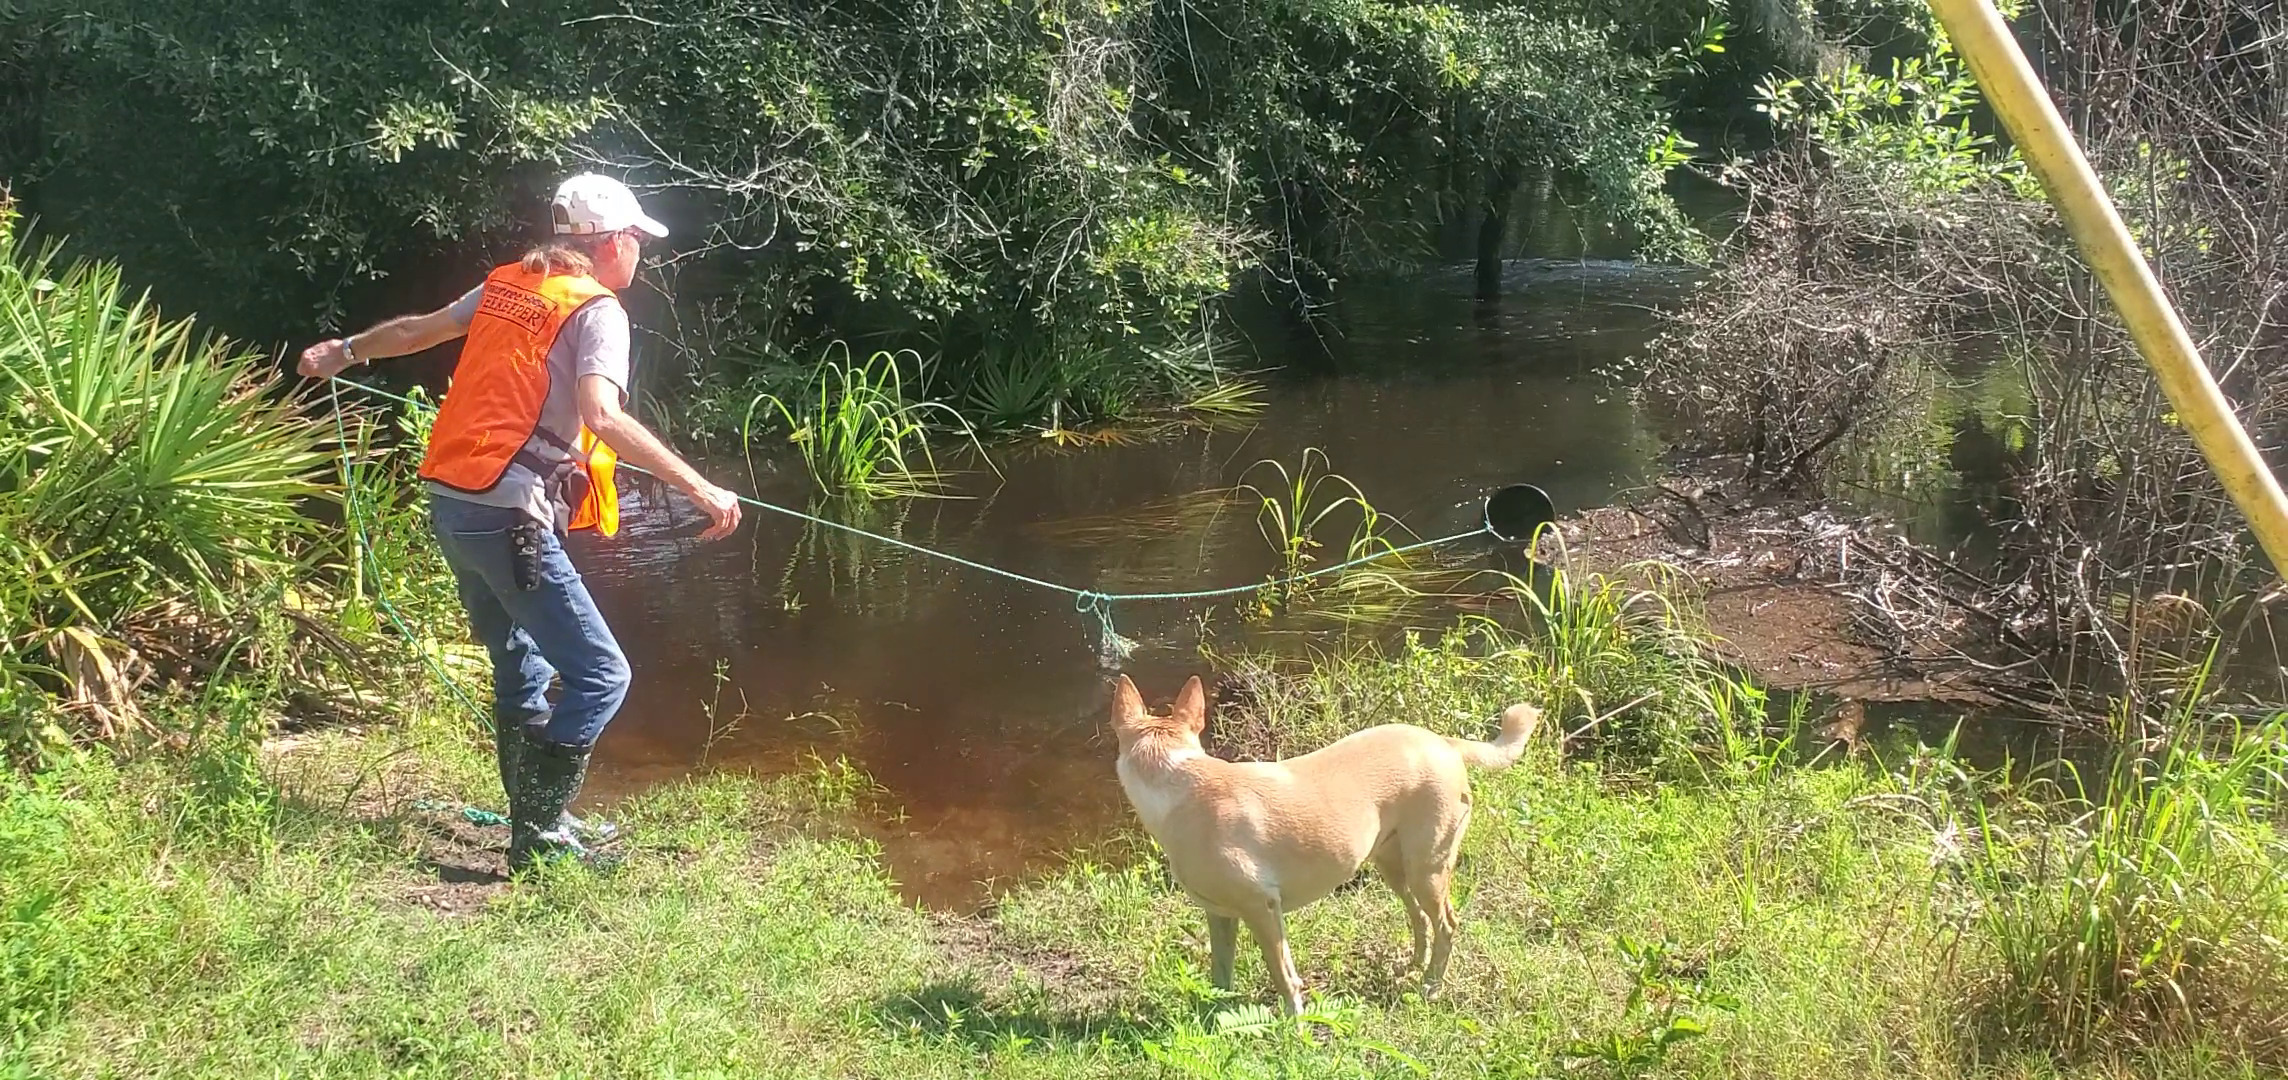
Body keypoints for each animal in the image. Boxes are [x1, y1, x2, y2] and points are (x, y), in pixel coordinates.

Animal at [1107, 677, 1537, 1011]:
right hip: (1394, 866)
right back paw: (1413, 968)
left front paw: (1293, 1027)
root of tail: (1444, 742)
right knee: (1419, 918)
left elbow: (1283, 974)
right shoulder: (1220, 914)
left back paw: (1431, 987)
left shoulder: (1263, 909)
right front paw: (1217, 1017)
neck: (1178, 779)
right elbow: (1220, 971)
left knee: (1446, 923)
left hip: (1427, 868)